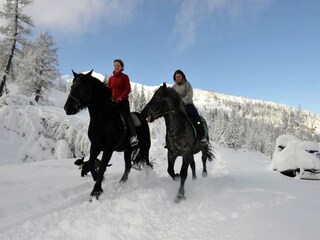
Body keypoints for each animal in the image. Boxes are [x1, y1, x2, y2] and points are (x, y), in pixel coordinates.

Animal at [64, 70, 152, 202]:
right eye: (71, 86)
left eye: (81, 87)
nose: (67, 108)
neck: (103, 118)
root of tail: (143, 118)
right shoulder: (95, 146)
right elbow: (91, 163)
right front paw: (97, 181)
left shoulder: (108, 148)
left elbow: (102, 166)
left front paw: (96, 191)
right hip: (128, 150)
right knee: (128, 166)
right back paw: (121, 184)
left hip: (145, 147)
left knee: (147, 163)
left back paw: (148, 179)